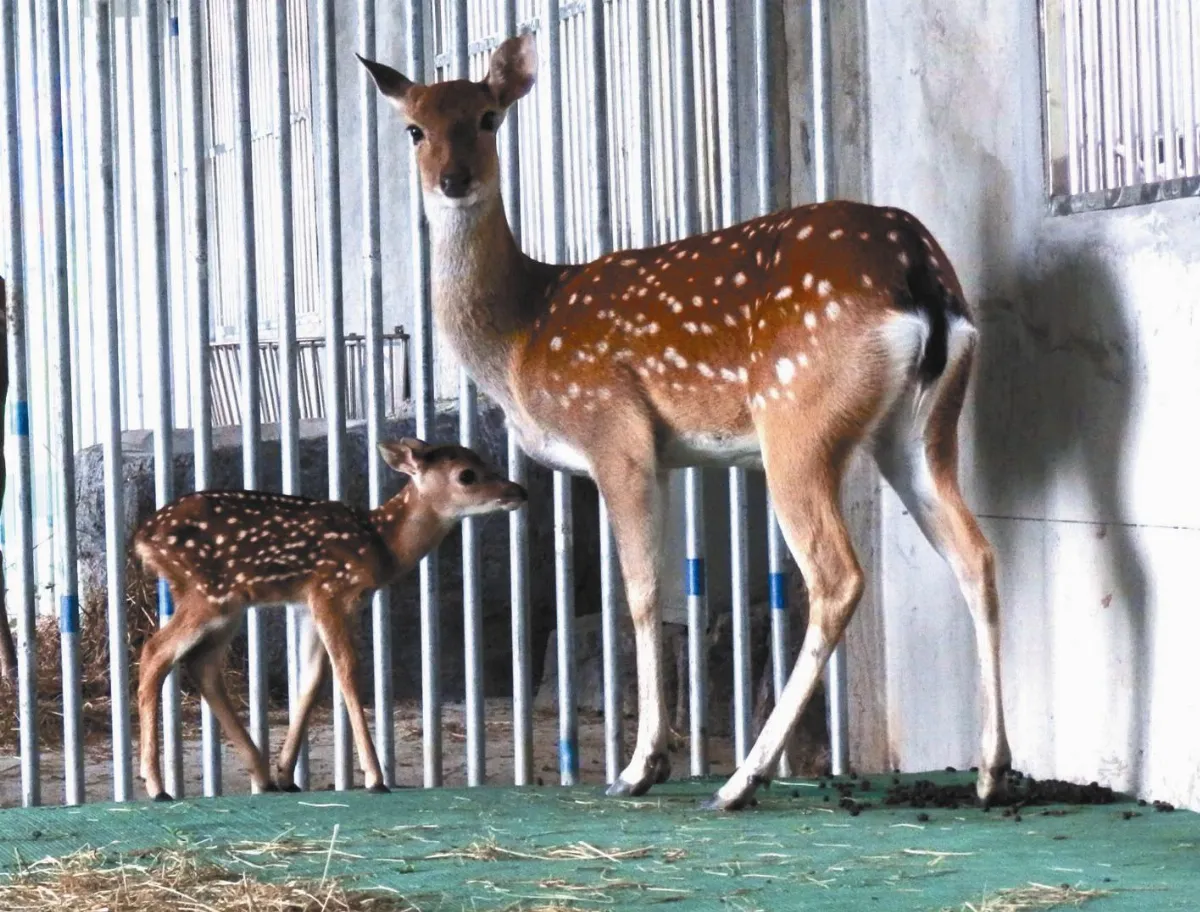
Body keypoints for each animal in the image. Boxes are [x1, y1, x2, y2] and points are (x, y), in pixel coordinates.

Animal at [133, 439, 527, 800]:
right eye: (467, 474)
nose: (518, 491)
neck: (382, 545)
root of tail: (142, 538)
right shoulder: (331, 589)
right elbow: (347, 670)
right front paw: (375, 777)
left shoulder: (309, 604)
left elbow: (311, 679)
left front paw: (286, 773)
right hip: (207, 594)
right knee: (155, 652)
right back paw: (156, 785)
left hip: (226, 605)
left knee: (202, 665)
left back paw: (261, 774)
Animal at [358, 34, 1011, 811]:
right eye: (414, 128)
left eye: (489, 117)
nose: (453, 179)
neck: (521, 335)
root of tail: (918, 272)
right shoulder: (663, 455)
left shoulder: (614, 430)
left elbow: (639, 595)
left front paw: (643, 765)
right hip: (923, 425)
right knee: (976, 553)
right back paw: (990, 771)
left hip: (797, 418)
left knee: (836, 575)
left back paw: (739, 780)